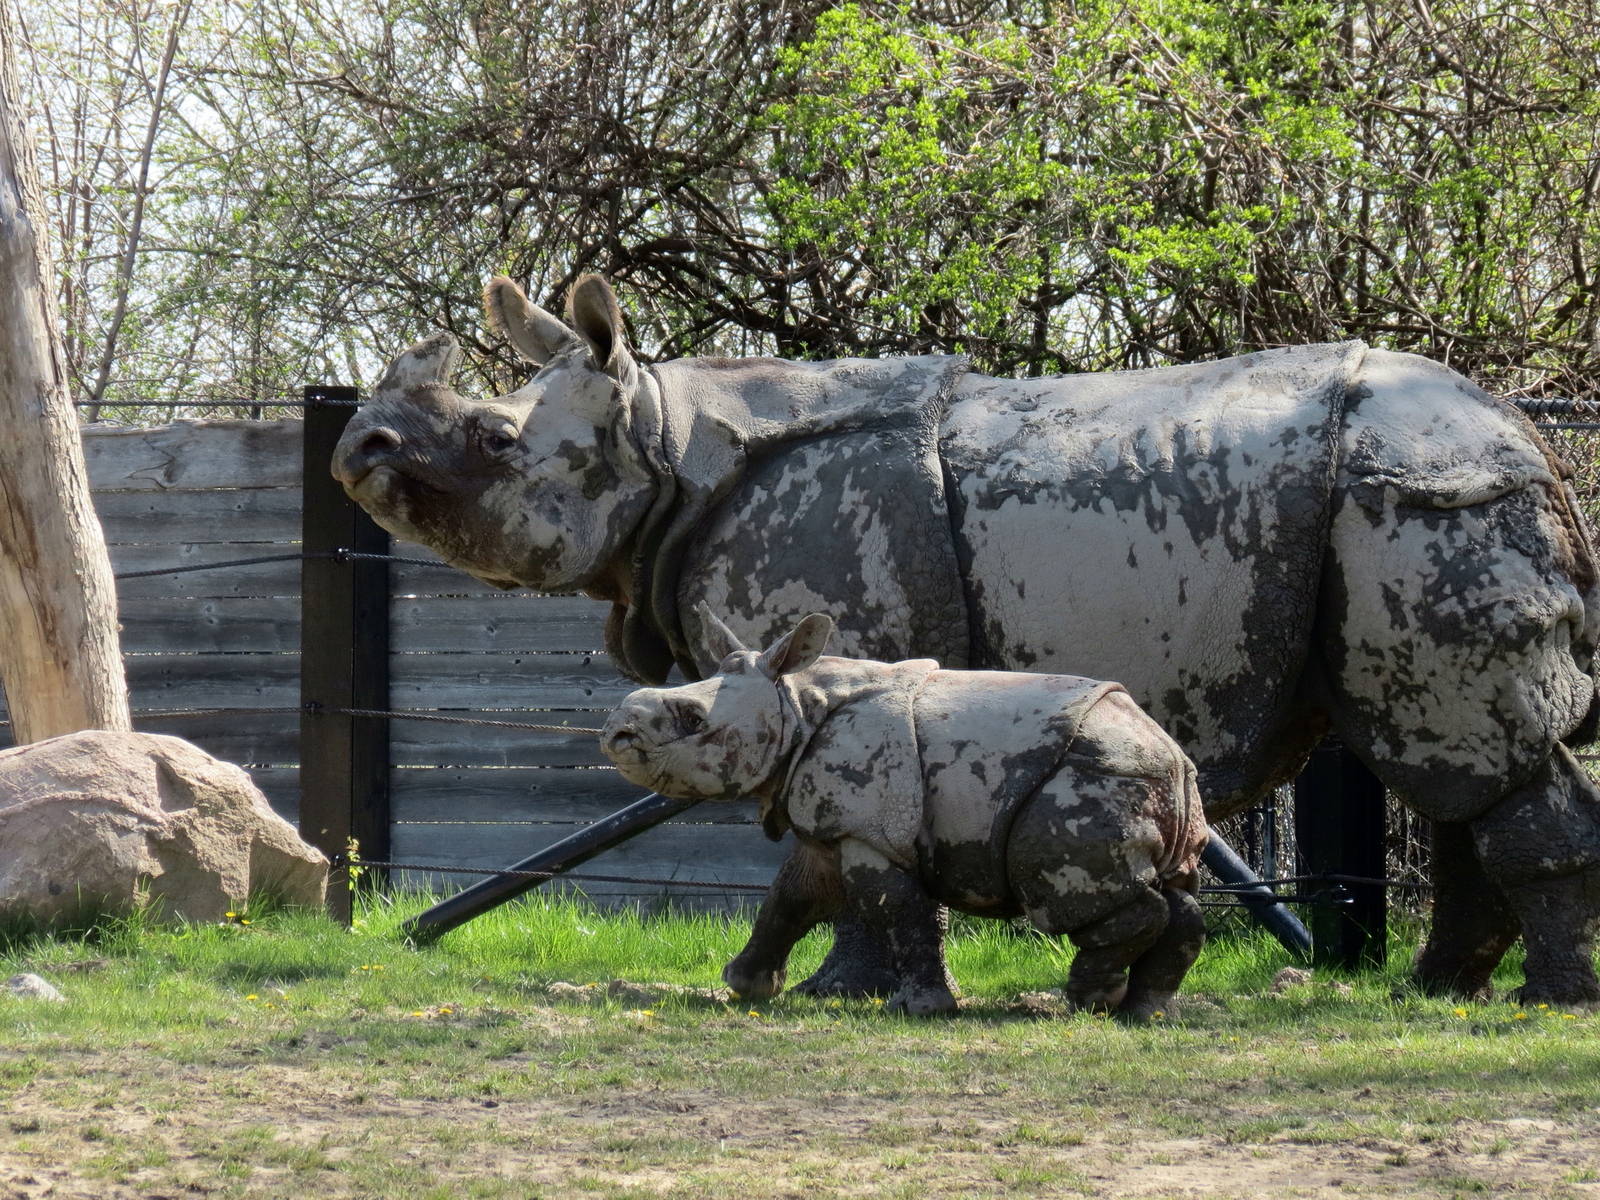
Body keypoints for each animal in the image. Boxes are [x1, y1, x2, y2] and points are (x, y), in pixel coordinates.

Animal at [600, 607, 1210, 1019]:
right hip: (1138, 780)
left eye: (692, 718)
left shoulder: (868, 831)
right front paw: (744, 986)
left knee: (1062, 894)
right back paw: (1145, 1012)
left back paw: (1089, 1000)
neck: (794, 704)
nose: (616, 734)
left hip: (1089, 779)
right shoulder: (841, 827)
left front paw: (921, 1009)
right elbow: (791, 897)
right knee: (1175, 891)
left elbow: (894, 908)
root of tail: (1173, 760)